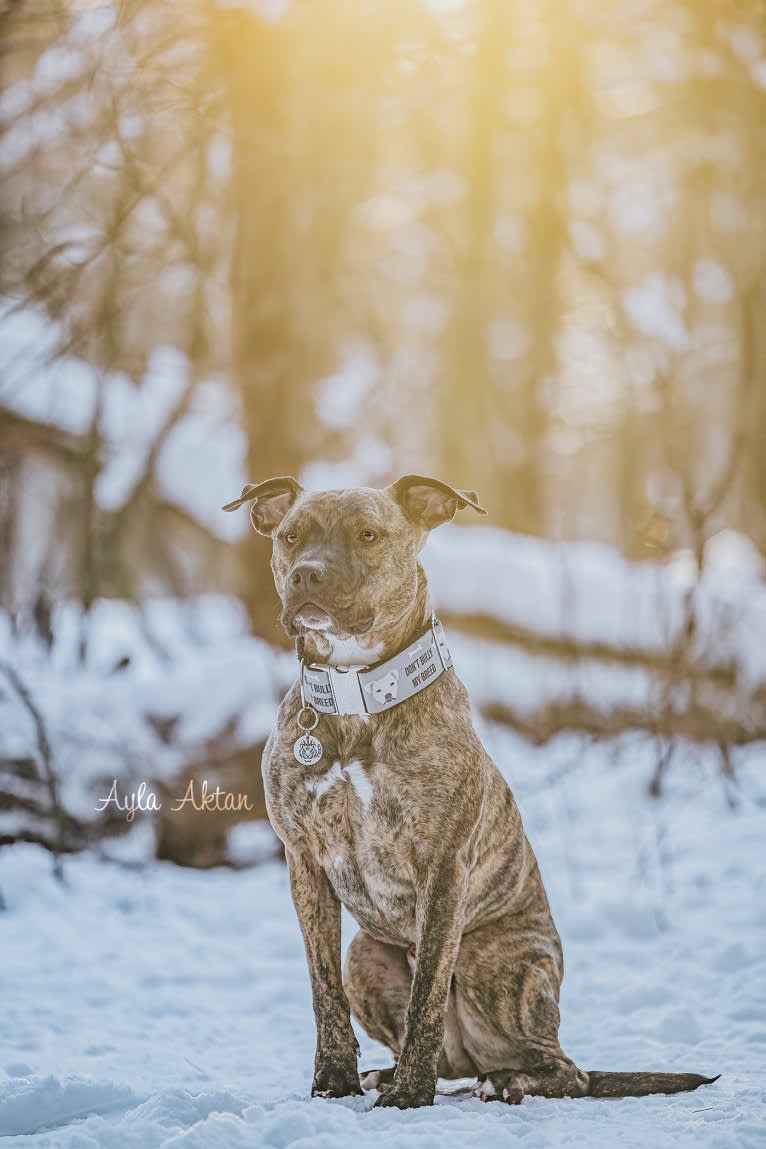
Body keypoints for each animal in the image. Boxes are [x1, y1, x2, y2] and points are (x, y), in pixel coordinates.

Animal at [222, 471, 721, 1107]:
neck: (358, 693)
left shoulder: (443, 868)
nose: (308, 574)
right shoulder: (305, 862)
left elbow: (428, 994)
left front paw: (408, 1096)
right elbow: (322, 989)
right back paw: (400, 1072)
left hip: (497, 963)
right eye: (290, 536)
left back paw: (505, 1081)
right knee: (447, 1052)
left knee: (563, 1070)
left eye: (368, 534)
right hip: (367, 953)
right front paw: (334, 1081)